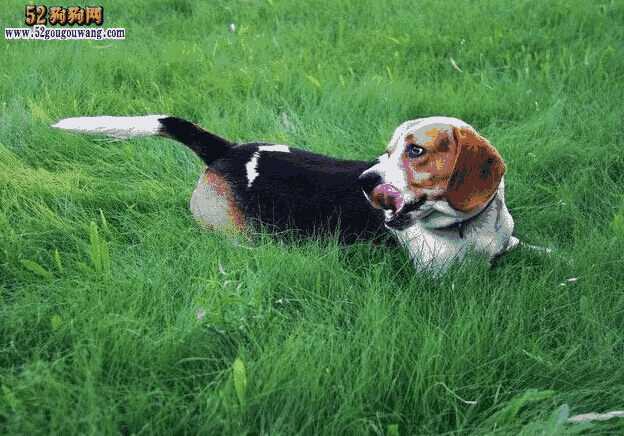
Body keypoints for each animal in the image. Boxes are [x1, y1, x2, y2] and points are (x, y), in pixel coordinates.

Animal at [52, 115, 516, 272]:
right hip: (238, 237)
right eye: (387, 151)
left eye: (415, 151)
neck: (469, 228)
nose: (364, 180)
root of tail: (227, 150)